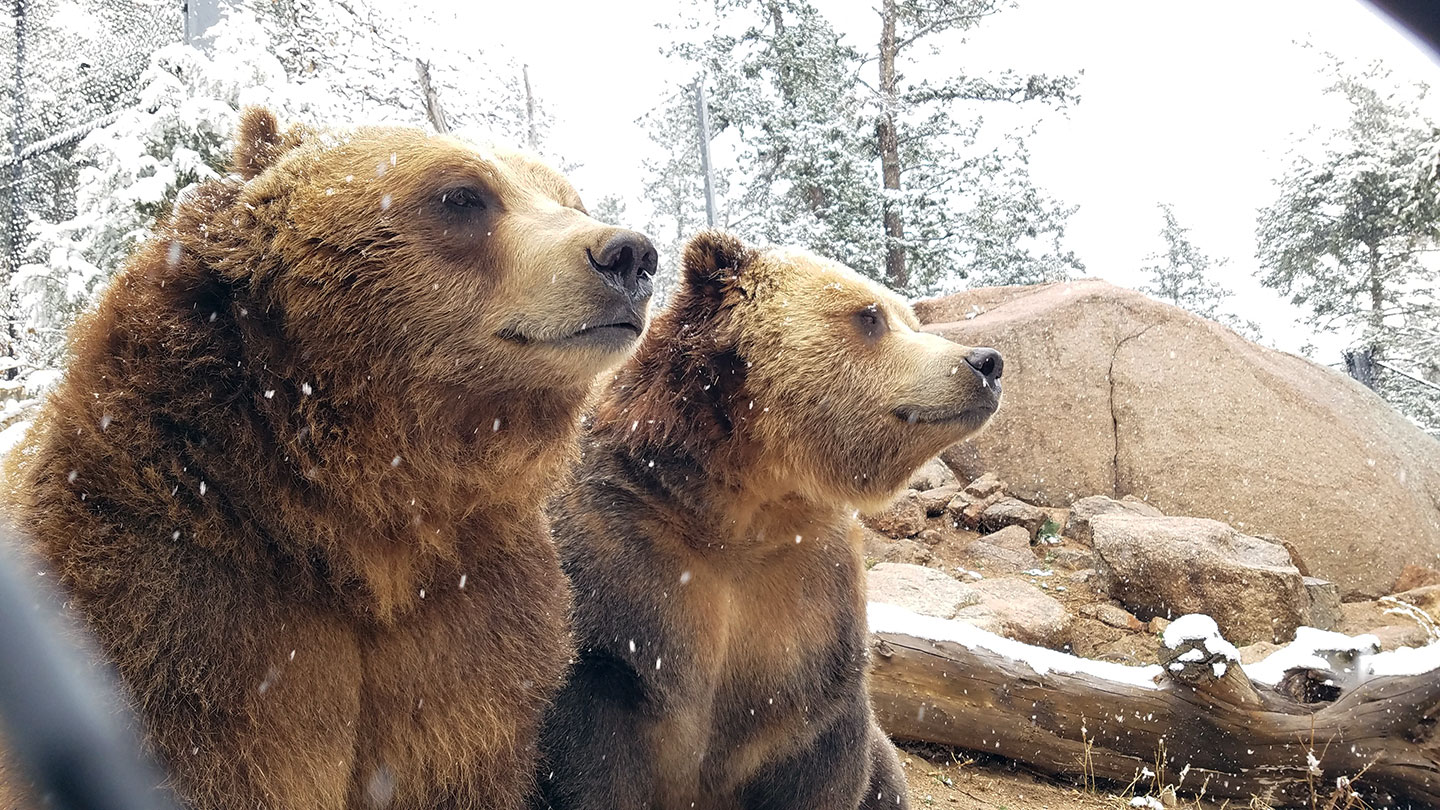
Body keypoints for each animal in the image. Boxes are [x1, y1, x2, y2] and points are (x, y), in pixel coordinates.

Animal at [535, 230, 1008, 801]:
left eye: (910, 319)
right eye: (870, 316)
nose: (986, 361)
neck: (746, 507)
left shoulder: (808, 597)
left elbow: (820, 756)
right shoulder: (622, 555)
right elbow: (592, 750)